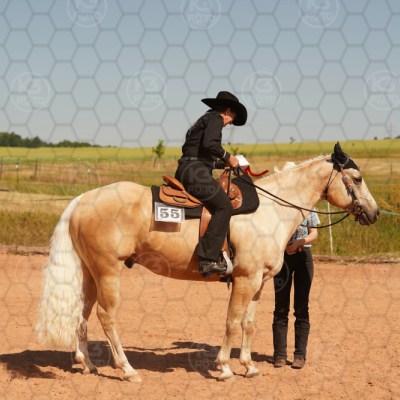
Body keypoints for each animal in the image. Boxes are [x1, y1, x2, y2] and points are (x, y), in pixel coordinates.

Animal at [36, 143, 379, 382]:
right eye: (357, 178)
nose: (374, 213)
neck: (270, 210)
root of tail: (82, 199)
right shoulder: (244, 279)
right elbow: (232, 321)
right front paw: (225, 367)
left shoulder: (258, 283)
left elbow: (249, 324)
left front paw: (248, 366)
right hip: (108, 272)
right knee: (106, 317)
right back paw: (128, 369)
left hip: (90, 274)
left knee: (81, 314)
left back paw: (88, 364)